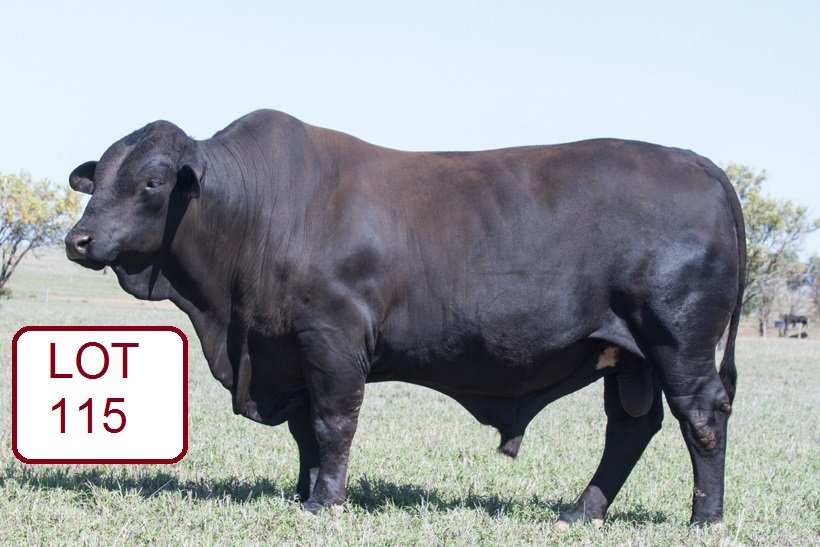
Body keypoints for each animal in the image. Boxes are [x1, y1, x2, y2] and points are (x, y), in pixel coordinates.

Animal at [65, 109, 746, 527]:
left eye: (152, 182)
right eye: (97, 179)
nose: (78, 239)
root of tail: (695, 161)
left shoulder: (331, 339)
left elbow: (333, 424)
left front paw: (325, 504)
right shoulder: (288, 350)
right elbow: (306, 433)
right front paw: (304, 492)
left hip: (677, 340)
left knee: (702, 417)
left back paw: (704, 517)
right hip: (628, 354)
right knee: (631, 426)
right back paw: (582, 512)